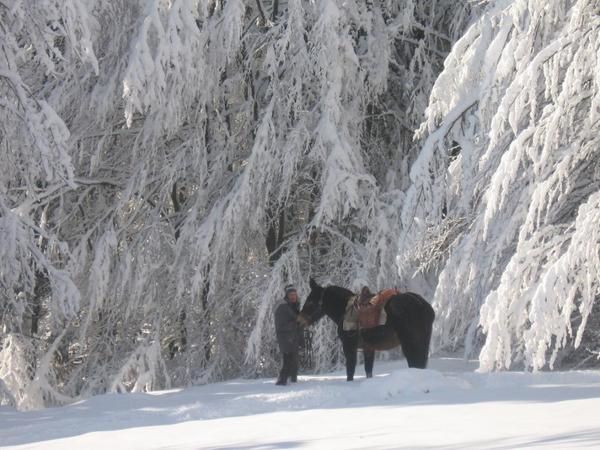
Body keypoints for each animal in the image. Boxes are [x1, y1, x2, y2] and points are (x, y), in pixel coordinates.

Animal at [298, 278, 434, 380]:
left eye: (310, 302)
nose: (299, 321)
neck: (343, 310)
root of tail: (422, 304)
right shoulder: (368, 348)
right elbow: (368, 371)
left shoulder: (349, 347)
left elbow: (350, 372)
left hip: (410, 344)